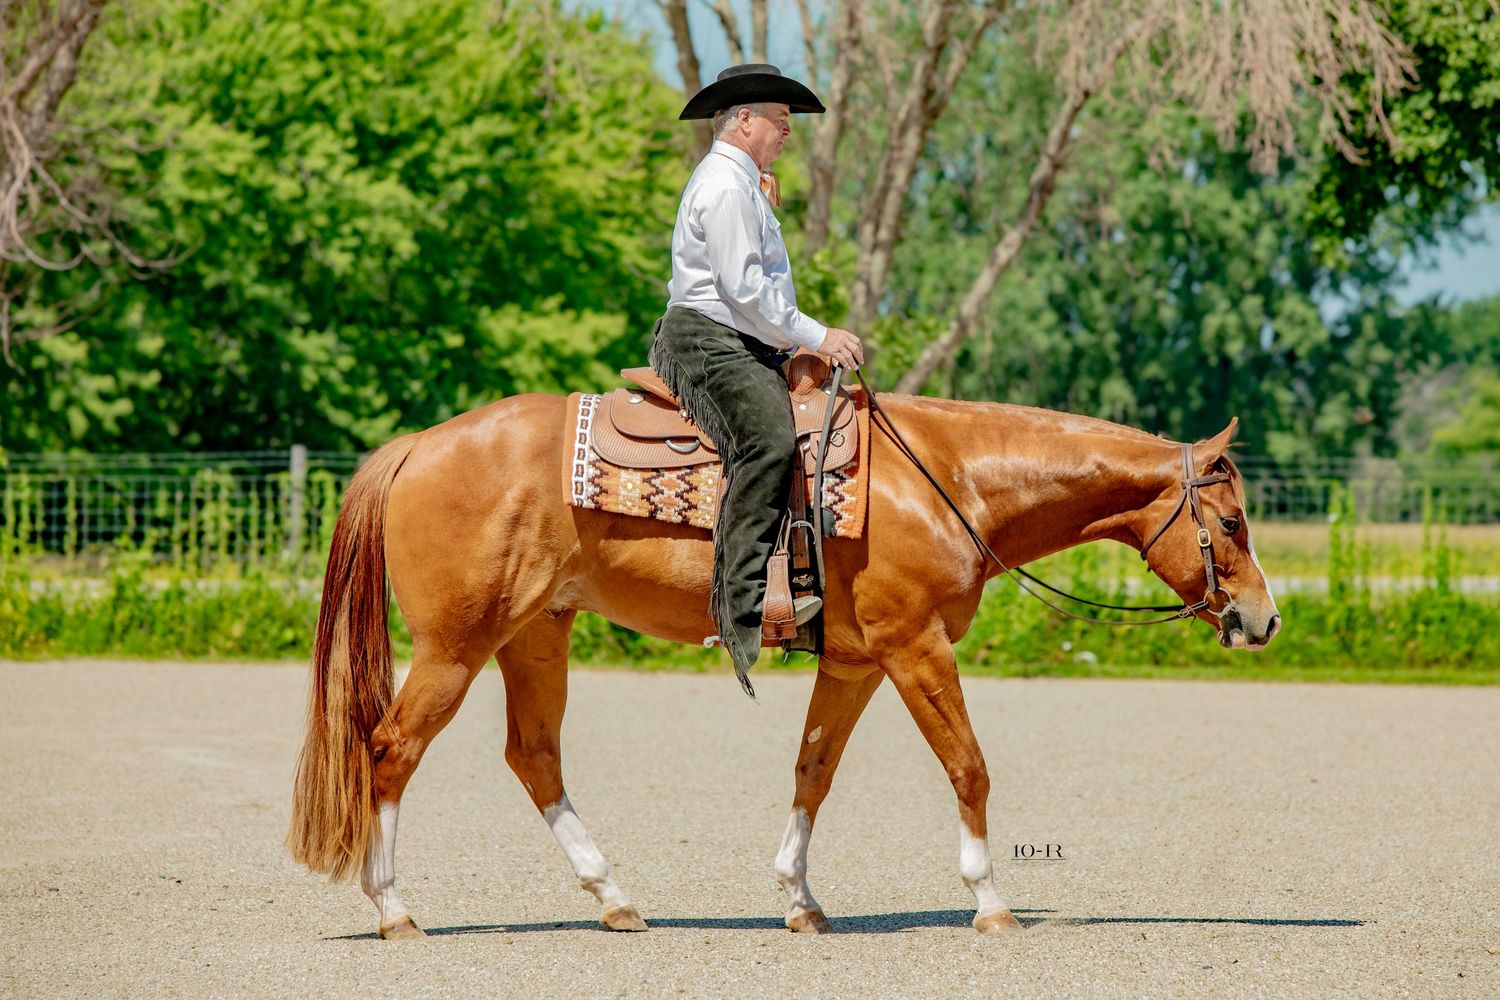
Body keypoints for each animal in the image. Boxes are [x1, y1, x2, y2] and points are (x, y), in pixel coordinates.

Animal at [285, 387, 1280, 939]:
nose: (1263, 620)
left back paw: (615, 898)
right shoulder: (916, 647)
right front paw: (989, 900)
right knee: (391, 751)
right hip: (456, 647)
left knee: (533, 756)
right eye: (1232, 522)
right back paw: (393, 911)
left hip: (537, 634)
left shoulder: (857, 663)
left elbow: (813, 770)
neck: (947, 478)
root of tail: (416, 446)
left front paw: (801, 900)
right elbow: (968, 765)